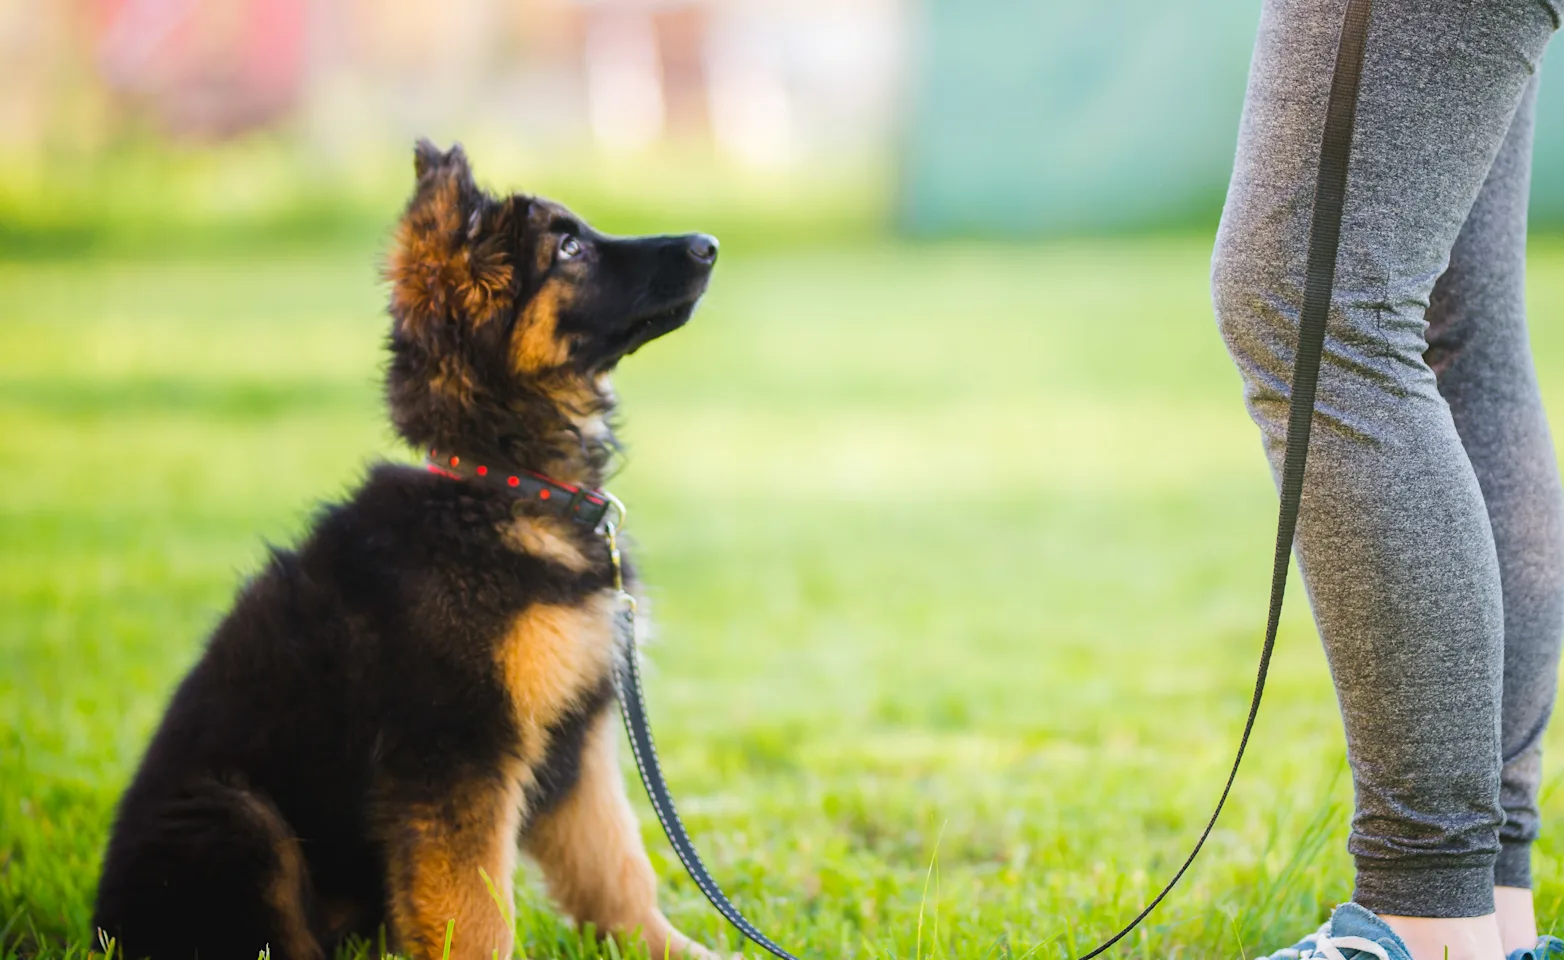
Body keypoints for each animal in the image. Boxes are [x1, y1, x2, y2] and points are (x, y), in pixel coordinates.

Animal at [88, 143, 716, 960]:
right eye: (568, 249)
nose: (709, 245)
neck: (501, 486)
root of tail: (104, 925)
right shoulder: (455, 750)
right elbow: (478, 915)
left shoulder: (577, 738)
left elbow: (616, 866)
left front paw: (674, 946)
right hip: (238, 819)